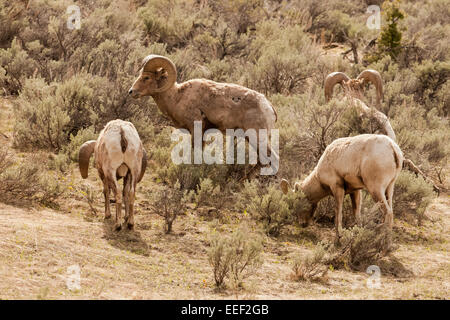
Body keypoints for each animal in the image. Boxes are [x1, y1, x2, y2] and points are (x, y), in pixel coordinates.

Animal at [127, 55, 278, 175]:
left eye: (146, 77)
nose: (131, 92)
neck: (177, 97)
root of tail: (269, 107)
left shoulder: (196, 130)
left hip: (256, 137)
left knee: (271, 158)